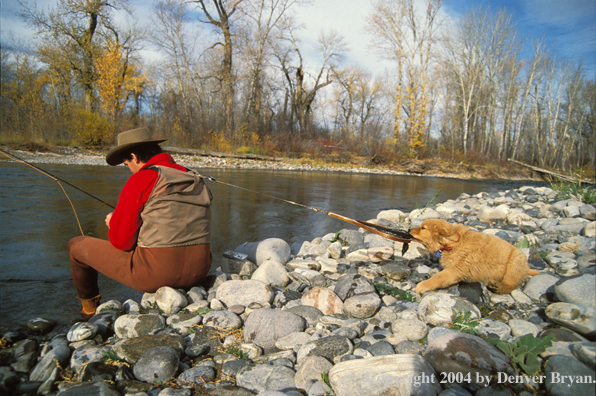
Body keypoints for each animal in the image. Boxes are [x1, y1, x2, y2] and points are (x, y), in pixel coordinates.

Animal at [410, 218, 540, 296]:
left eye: (423, 228)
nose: (409, 229)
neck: (452, 245)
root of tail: (527, 268)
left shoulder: (456, 270)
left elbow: (438, 277)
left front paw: (423, 285)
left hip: (515, 262)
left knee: (510, 283)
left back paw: (497, 286)